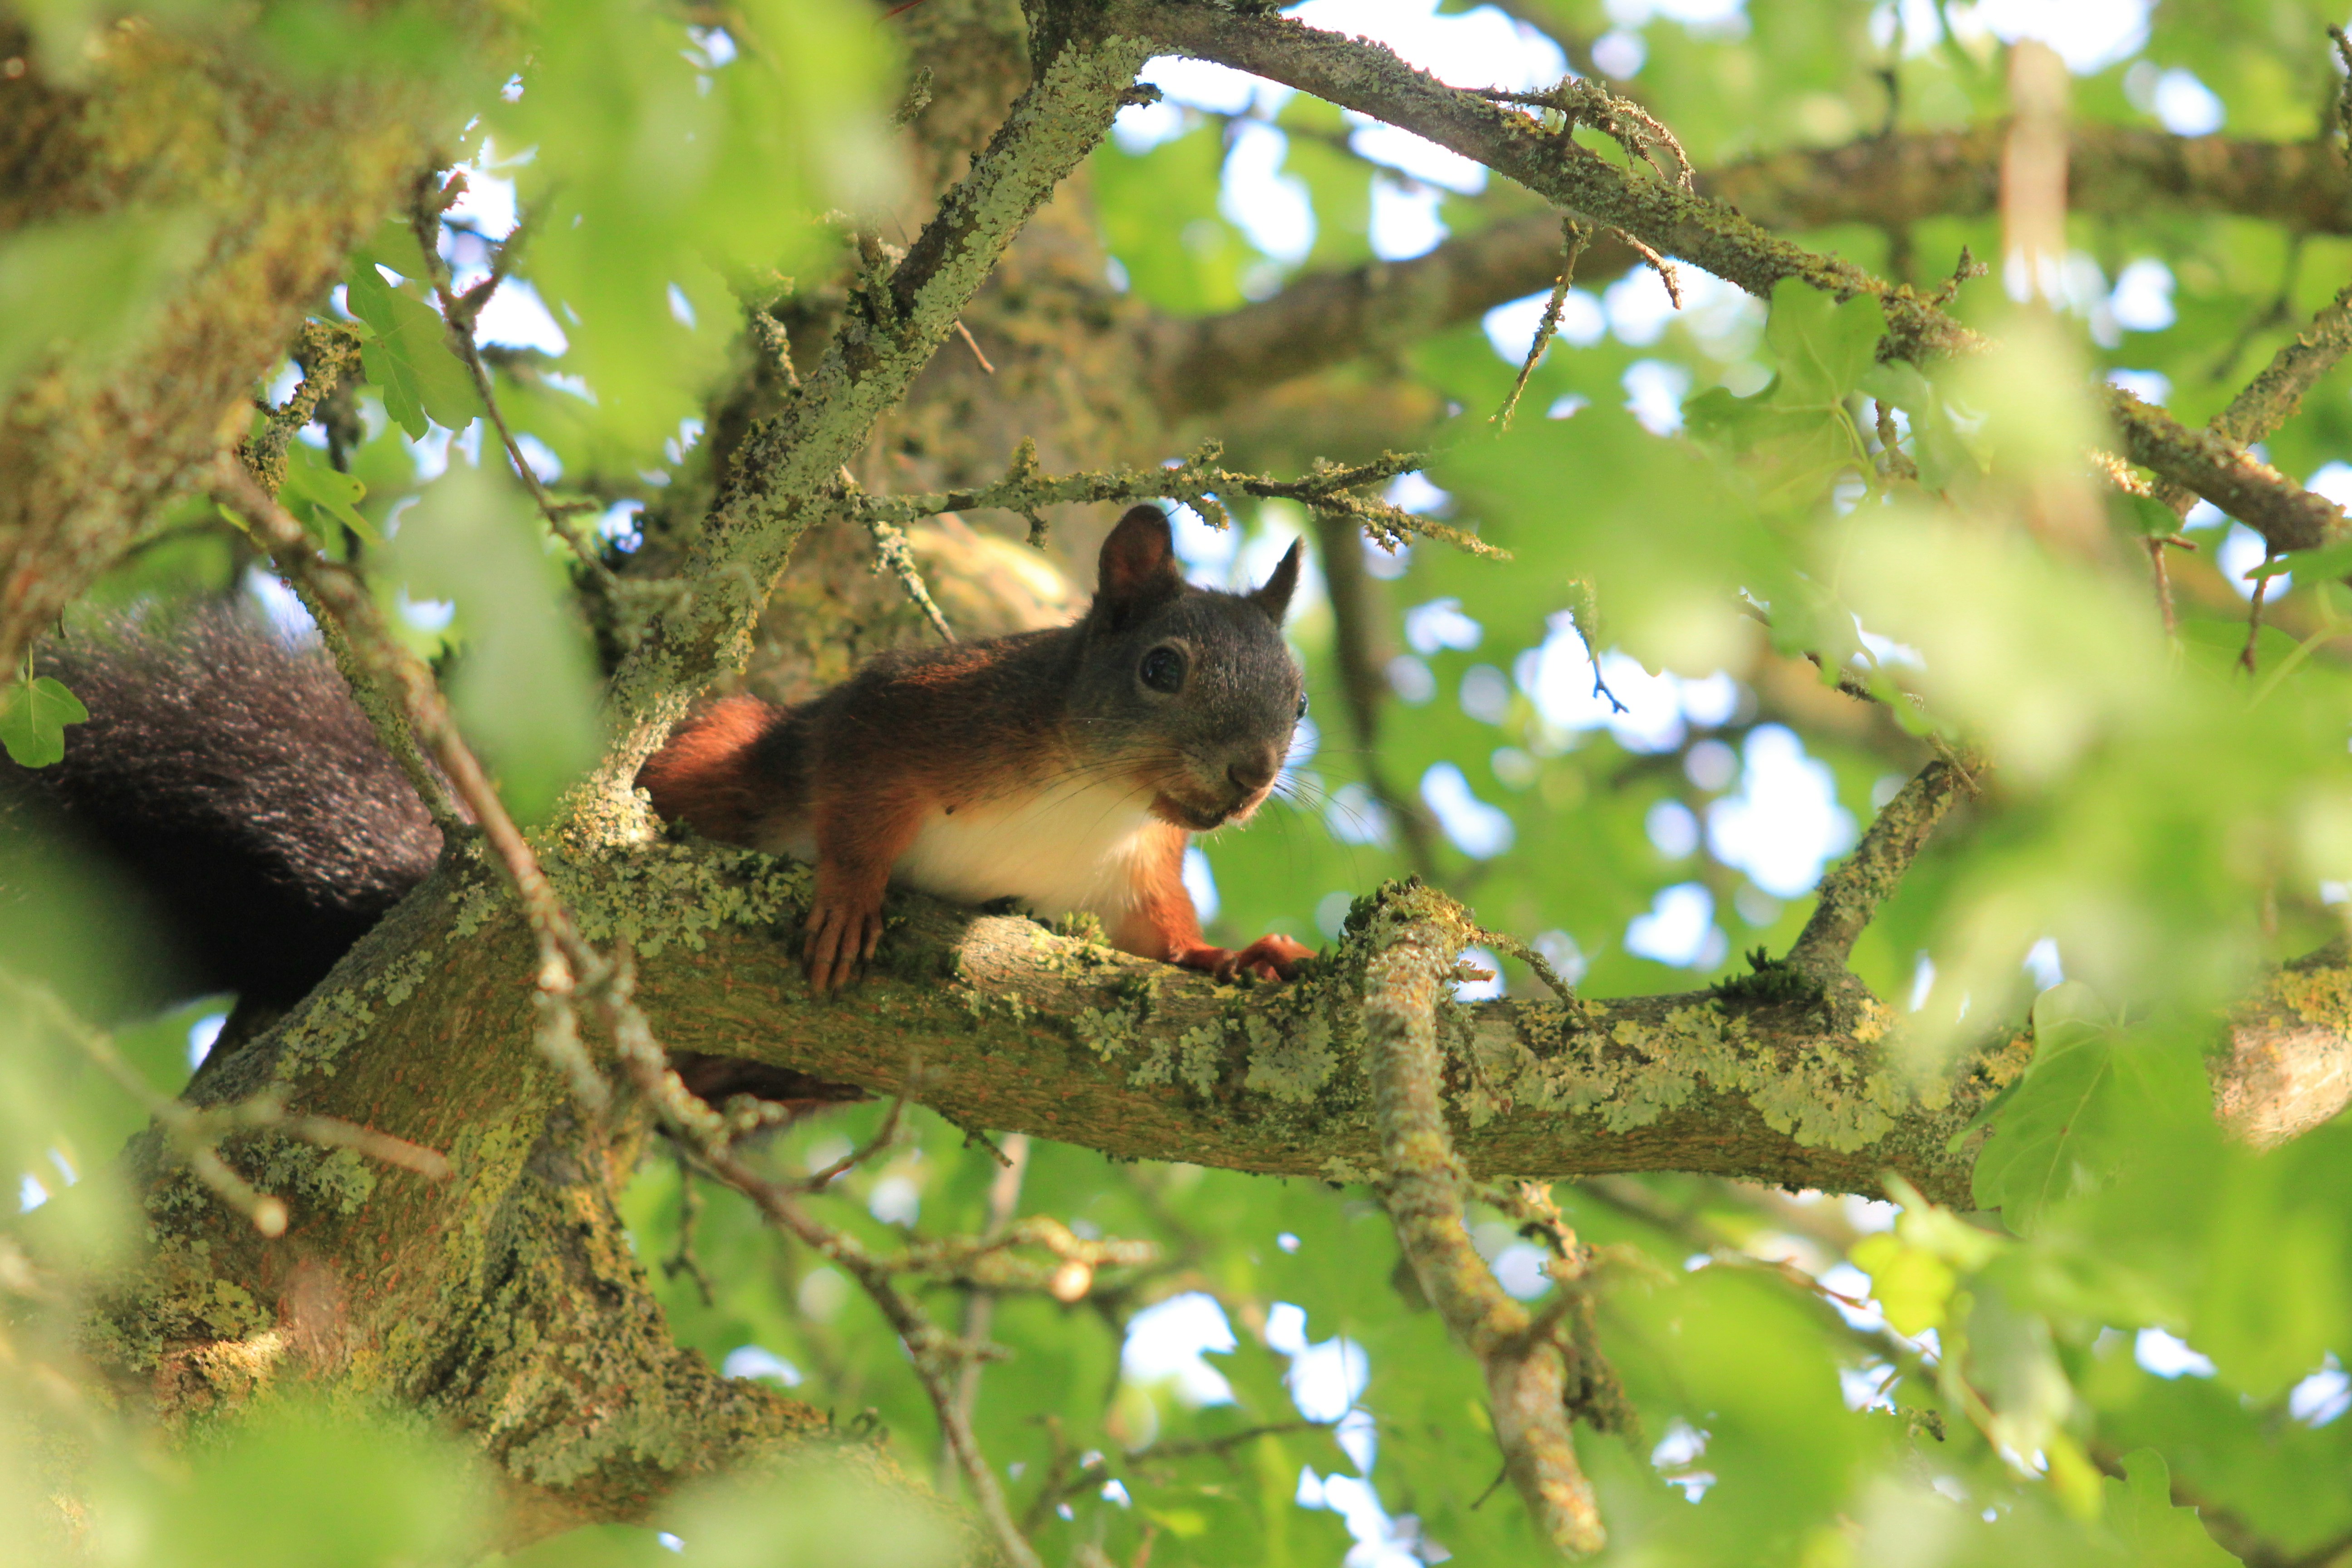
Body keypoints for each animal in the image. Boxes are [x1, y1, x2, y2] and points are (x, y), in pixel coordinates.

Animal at [638, 504, 1317, 989]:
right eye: (1161, 669)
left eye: (1301, 704)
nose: (1252, 775)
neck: (1101, 799)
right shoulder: (911, 712)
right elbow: (855, 801)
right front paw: (850, 900)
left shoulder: (1143, 868)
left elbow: (1162, 936)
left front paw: (1238, 955)